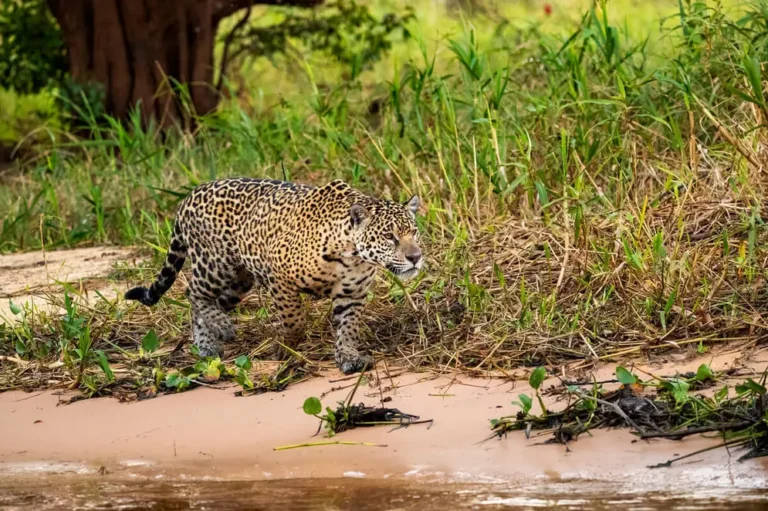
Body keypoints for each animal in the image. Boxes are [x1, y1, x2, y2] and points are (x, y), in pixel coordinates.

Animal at [125, 177, 423, 374]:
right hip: (216, 264)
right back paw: (222, 328)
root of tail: (190, 195)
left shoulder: (352, 293)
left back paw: (207, 346)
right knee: (193, 292)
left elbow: (349, 327)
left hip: (239, 280)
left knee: (208, 303)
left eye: (414, 232)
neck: (351, 255)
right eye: (389, 236)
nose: (416, 257)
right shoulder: (279, 276)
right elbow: (295, 320)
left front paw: (349, 357)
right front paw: (286, 348)